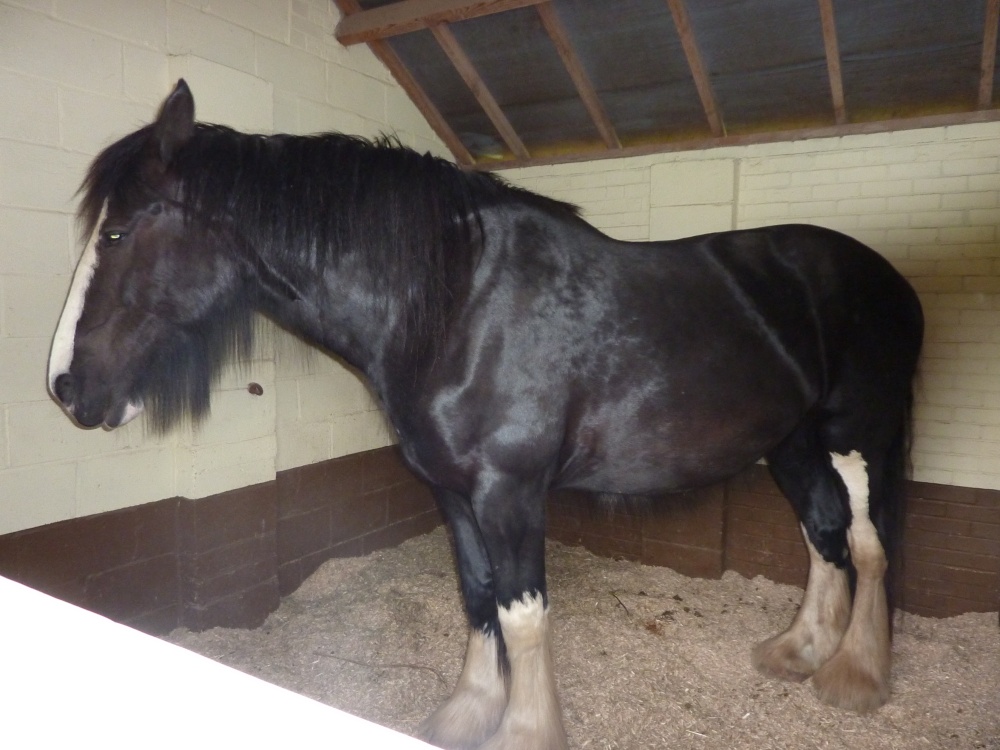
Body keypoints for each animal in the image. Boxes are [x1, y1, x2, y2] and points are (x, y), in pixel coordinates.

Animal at [48, 80, 923, 750]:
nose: (65, 386)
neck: (459, 303)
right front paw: (467, 715)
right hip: (791, 442)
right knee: (823, 533)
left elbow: (522, 612)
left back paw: (854, 678)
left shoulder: (510, 493)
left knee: (869, 544)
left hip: (855, 438)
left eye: (118, 232)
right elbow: (476, 597)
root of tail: (889, 278)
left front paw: (527, 732)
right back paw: (800, 651)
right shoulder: (450, 491)